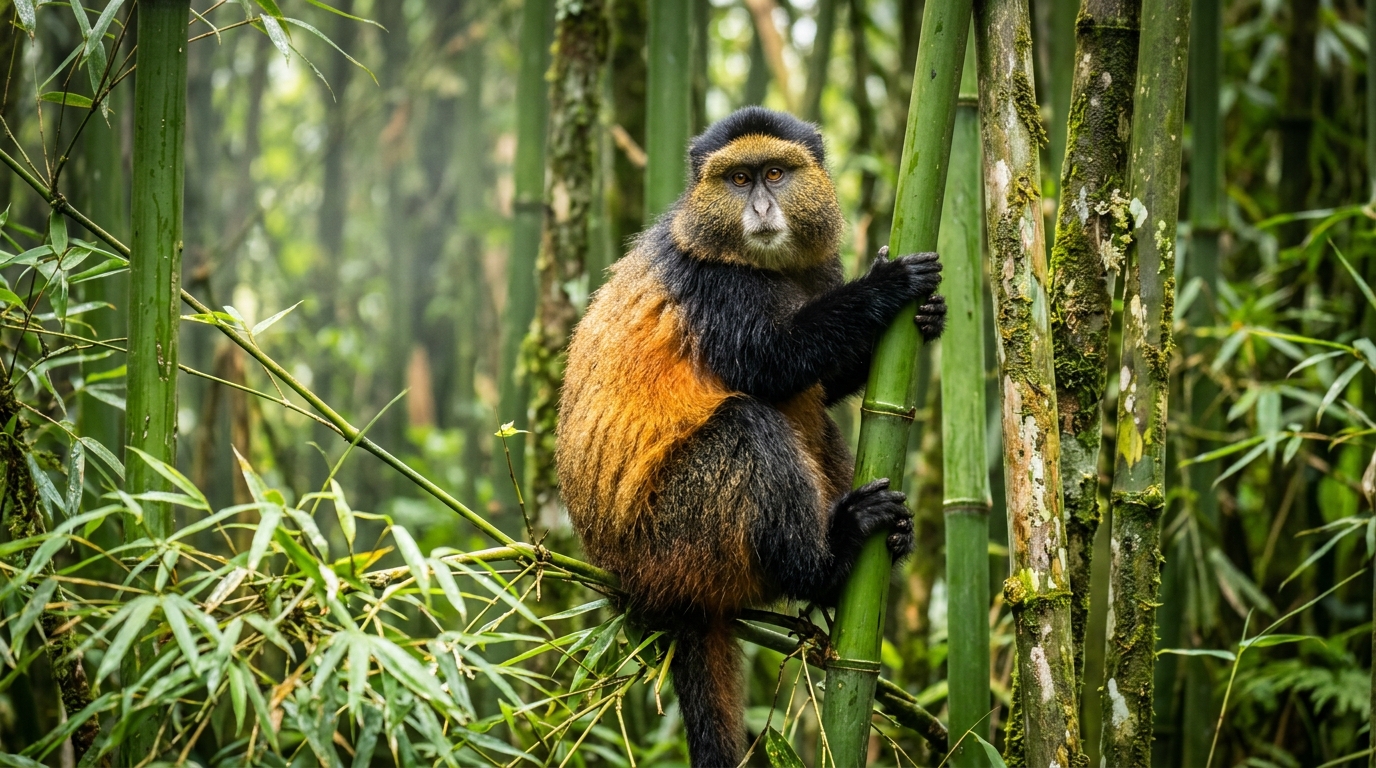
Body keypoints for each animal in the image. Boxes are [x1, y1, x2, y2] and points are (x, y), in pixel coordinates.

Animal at [555, 107, 946, 767]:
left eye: (774, 173)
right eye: (738, 180)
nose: (761, 207)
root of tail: (644, 590)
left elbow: (823, 384)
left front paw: (929, 315)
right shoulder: (714, 286)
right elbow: (772, 363)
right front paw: (885, 286)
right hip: (677, 535)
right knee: (747, 425)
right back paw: (831, 560)